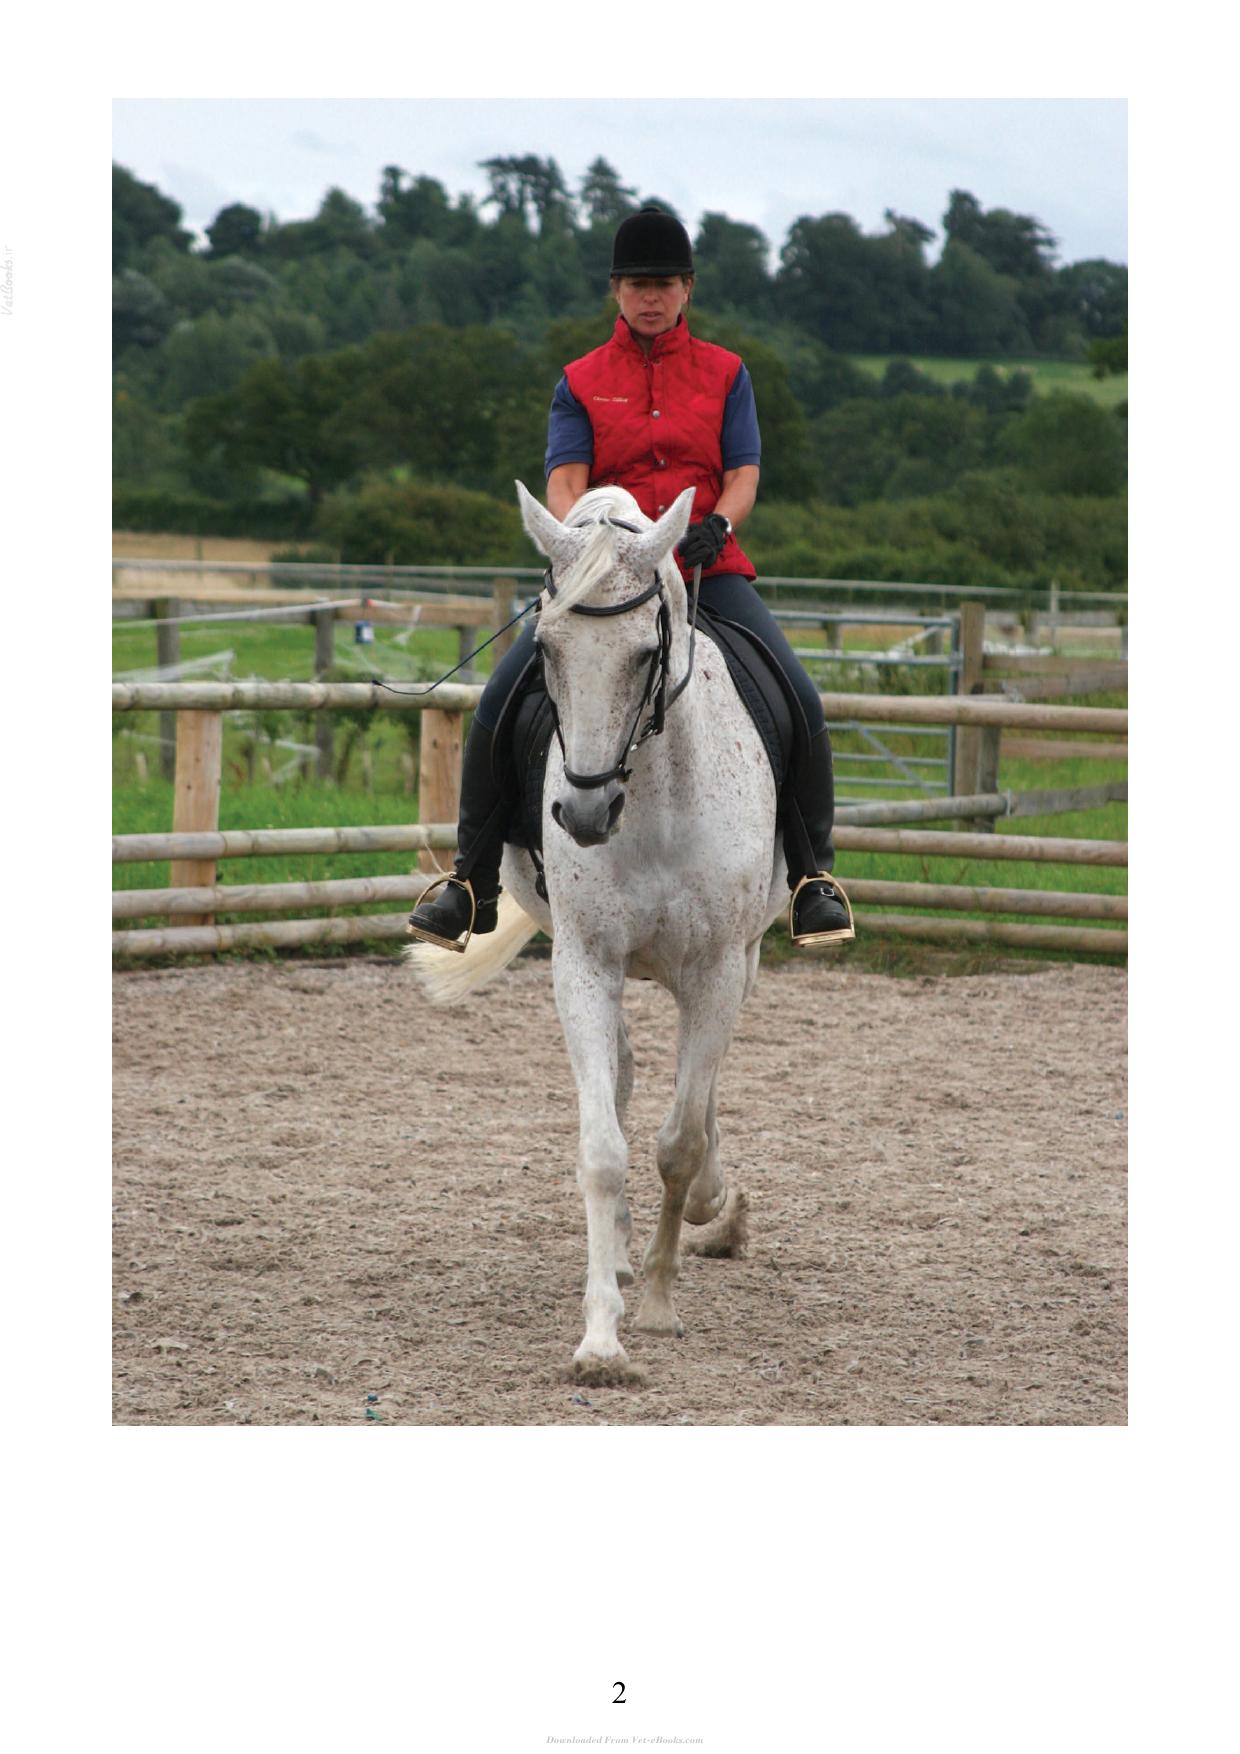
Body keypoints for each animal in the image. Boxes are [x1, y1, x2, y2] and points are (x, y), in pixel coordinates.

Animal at [408, 481, 790, 1381]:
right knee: (620, 1077)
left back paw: (714, 1210)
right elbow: (604, 1147)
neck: (650, 798)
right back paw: (621, 1254)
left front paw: (657, 1302)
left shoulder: (718, 968)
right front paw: (602, 1334)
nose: (583, 813)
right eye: (545, 649)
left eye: (644, 655)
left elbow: (679, 1140)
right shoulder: (584, 961)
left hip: (745, 956)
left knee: (699, 1095)